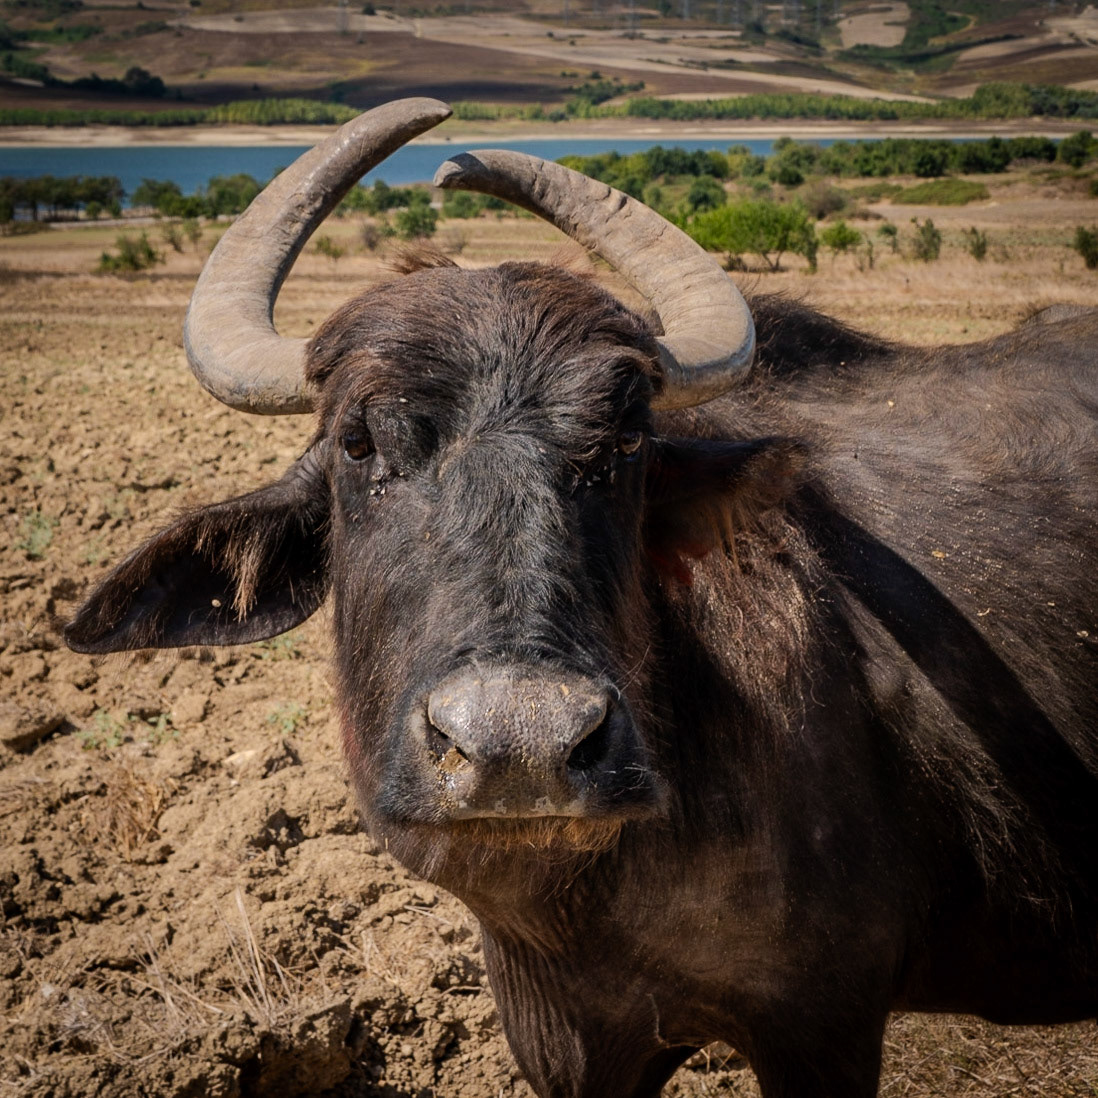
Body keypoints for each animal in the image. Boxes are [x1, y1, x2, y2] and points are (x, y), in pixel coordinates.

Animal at [66, 98, 1098, 1097]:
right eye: (358, 443)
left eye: (627, 441)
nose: (519, 744)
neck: (593, 908)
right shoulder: (566, 1042)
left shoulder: (824, 1026)